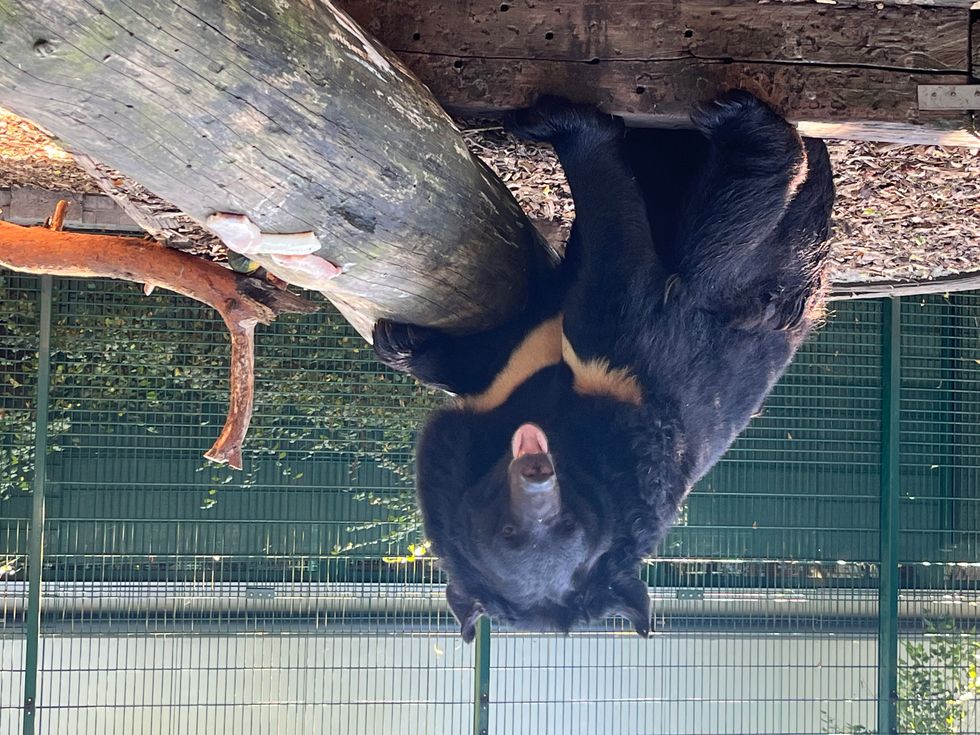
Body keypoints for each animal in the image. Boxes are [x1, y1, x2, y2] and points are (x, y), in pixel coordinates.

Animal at [372, 91, 835, 641]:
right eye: (508, 531)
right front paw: (399, 340)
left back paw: (740, 123)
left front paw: (560, 122)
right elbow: (492, 354)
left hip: (765, 273)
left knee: (731, 220)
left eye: (567, 523)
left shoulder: (621, 371)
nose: (537, 472)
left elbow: (623, 281)